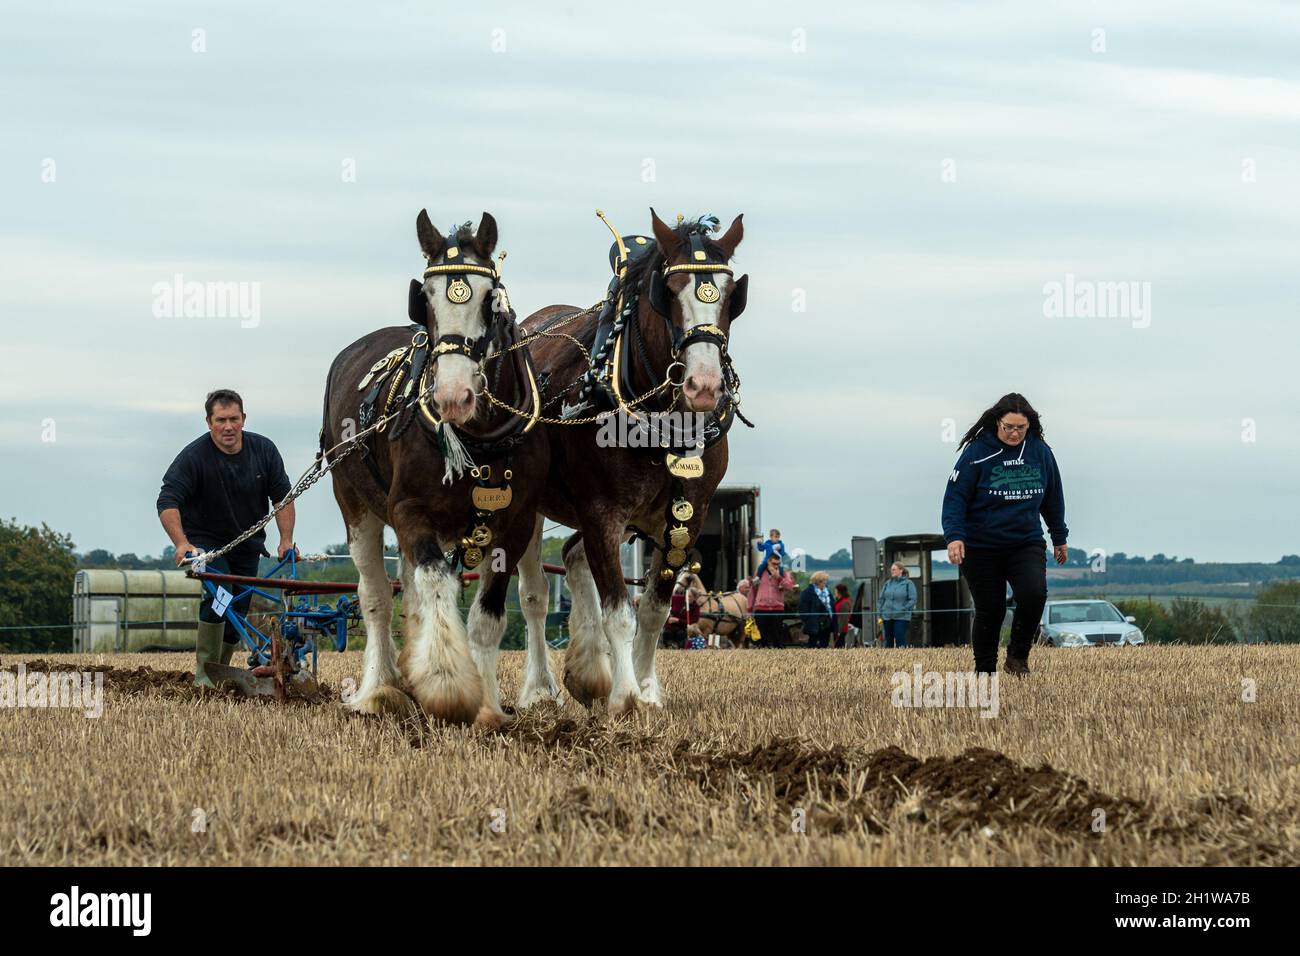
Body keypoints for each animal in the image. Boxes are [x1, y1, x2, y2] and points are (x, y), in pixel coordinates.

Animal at [321, 210, 549, 727]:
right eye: (424, 298)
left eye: (489, 299)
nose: (452, 396)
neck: (478, 439)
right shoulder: (409, 511)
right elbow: (435, 584)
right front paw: (446, 684)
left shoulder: (515, 522)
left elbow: (486, 615)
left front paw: (486, 706)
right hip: (353, 503)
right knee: (376, 597)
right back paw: (379, 688)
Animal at [513, 209, 749, 714]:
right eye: (669, 291)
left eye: (729, 293)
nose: (704, 385)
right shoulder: (602, 512)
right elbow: (620, 611)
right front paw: (625, 697)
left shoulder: (685, 518)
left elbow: (655, 610)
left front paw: (646, 688)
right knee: (534, 595)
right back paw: (539, 688)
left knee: (572, 555)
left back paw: (587, 671)